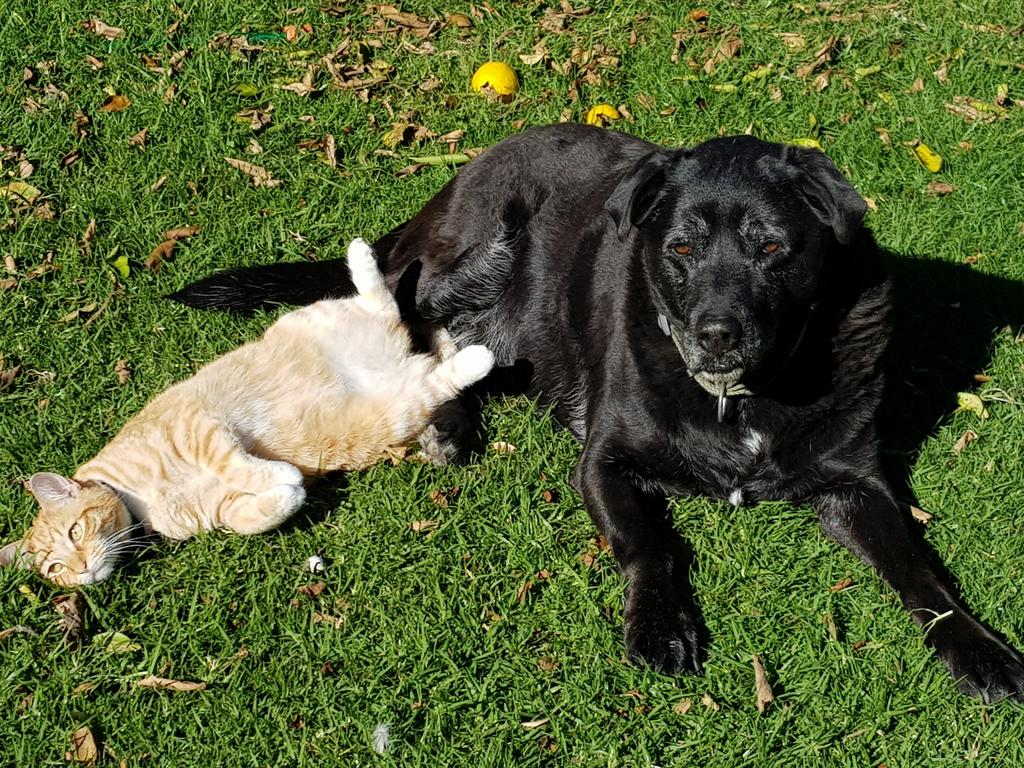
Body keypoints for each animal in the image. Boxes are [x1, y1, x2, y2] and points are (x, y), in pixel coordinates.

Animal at [0, 237, 495, 585]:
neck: (141, 505)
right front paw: (288, 493)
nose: (81, 569)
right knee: (430, 366)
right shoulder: (220, 510)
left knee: (388, 306)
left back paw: (368, 262)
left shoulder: (198, 430)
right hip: (395, 412)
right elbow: (249, 519)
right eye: (55, 569)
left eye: (75, 533)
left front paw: (281, 476)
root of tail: (404, 361)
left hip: (331, 329)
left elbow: (237, 463)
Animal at [176, 124, 1024, 704]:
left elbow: (918, 569)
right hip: (478, 246)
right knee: (406, 314)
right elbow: (648, 544)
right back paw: (445, 422)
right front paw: (660, 625)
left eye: (773, 249)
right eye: (680, 249)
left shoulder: (856, 485)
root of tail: (467, 170)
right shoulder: (606, 461)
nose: (717, 332)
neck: (741, 396)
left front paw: (978, 648)